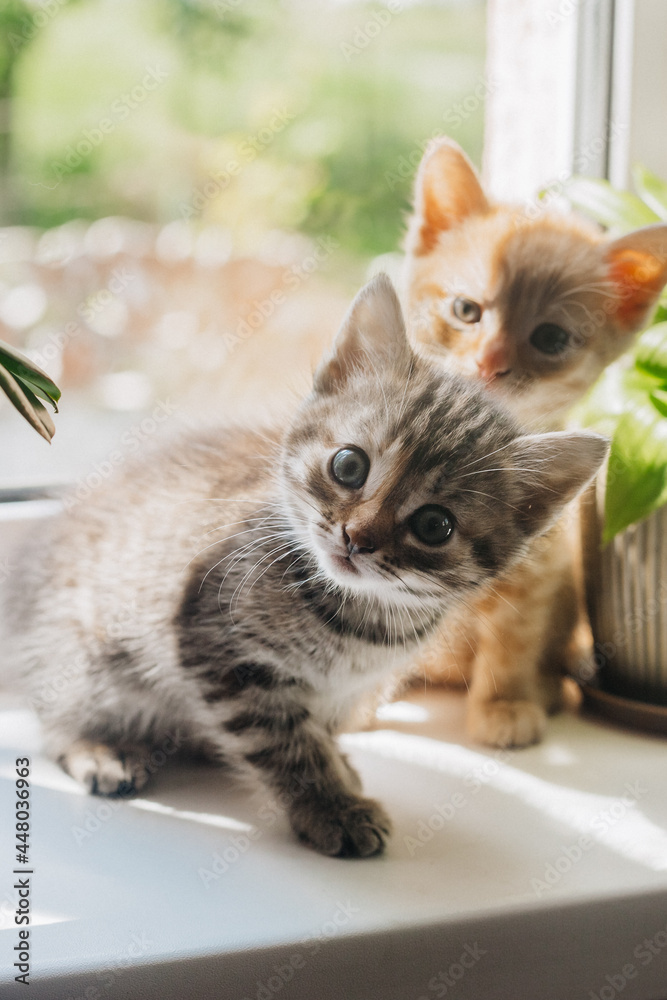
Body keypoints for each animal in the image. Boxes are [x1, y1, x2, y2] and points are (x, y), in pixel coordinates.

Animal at [10, 276, 608, 860]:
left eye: (435, 525)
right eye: (348, 465)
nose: (357, 538)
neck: (362, 621)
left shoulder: (350, 688)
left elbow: (322, 728)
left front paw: (338, 768)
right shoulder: (219, 643)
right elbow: (285, 741)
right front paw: (330, 806)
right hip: (87, 661)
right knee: (56, 713)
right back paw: (99, 746)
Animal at [402, 143, 667, 752]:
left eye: (550, 338)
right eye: (466, 310)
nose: (490, 362)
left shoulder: (535, 580)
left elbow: (512, 646)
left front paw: (505, 704)